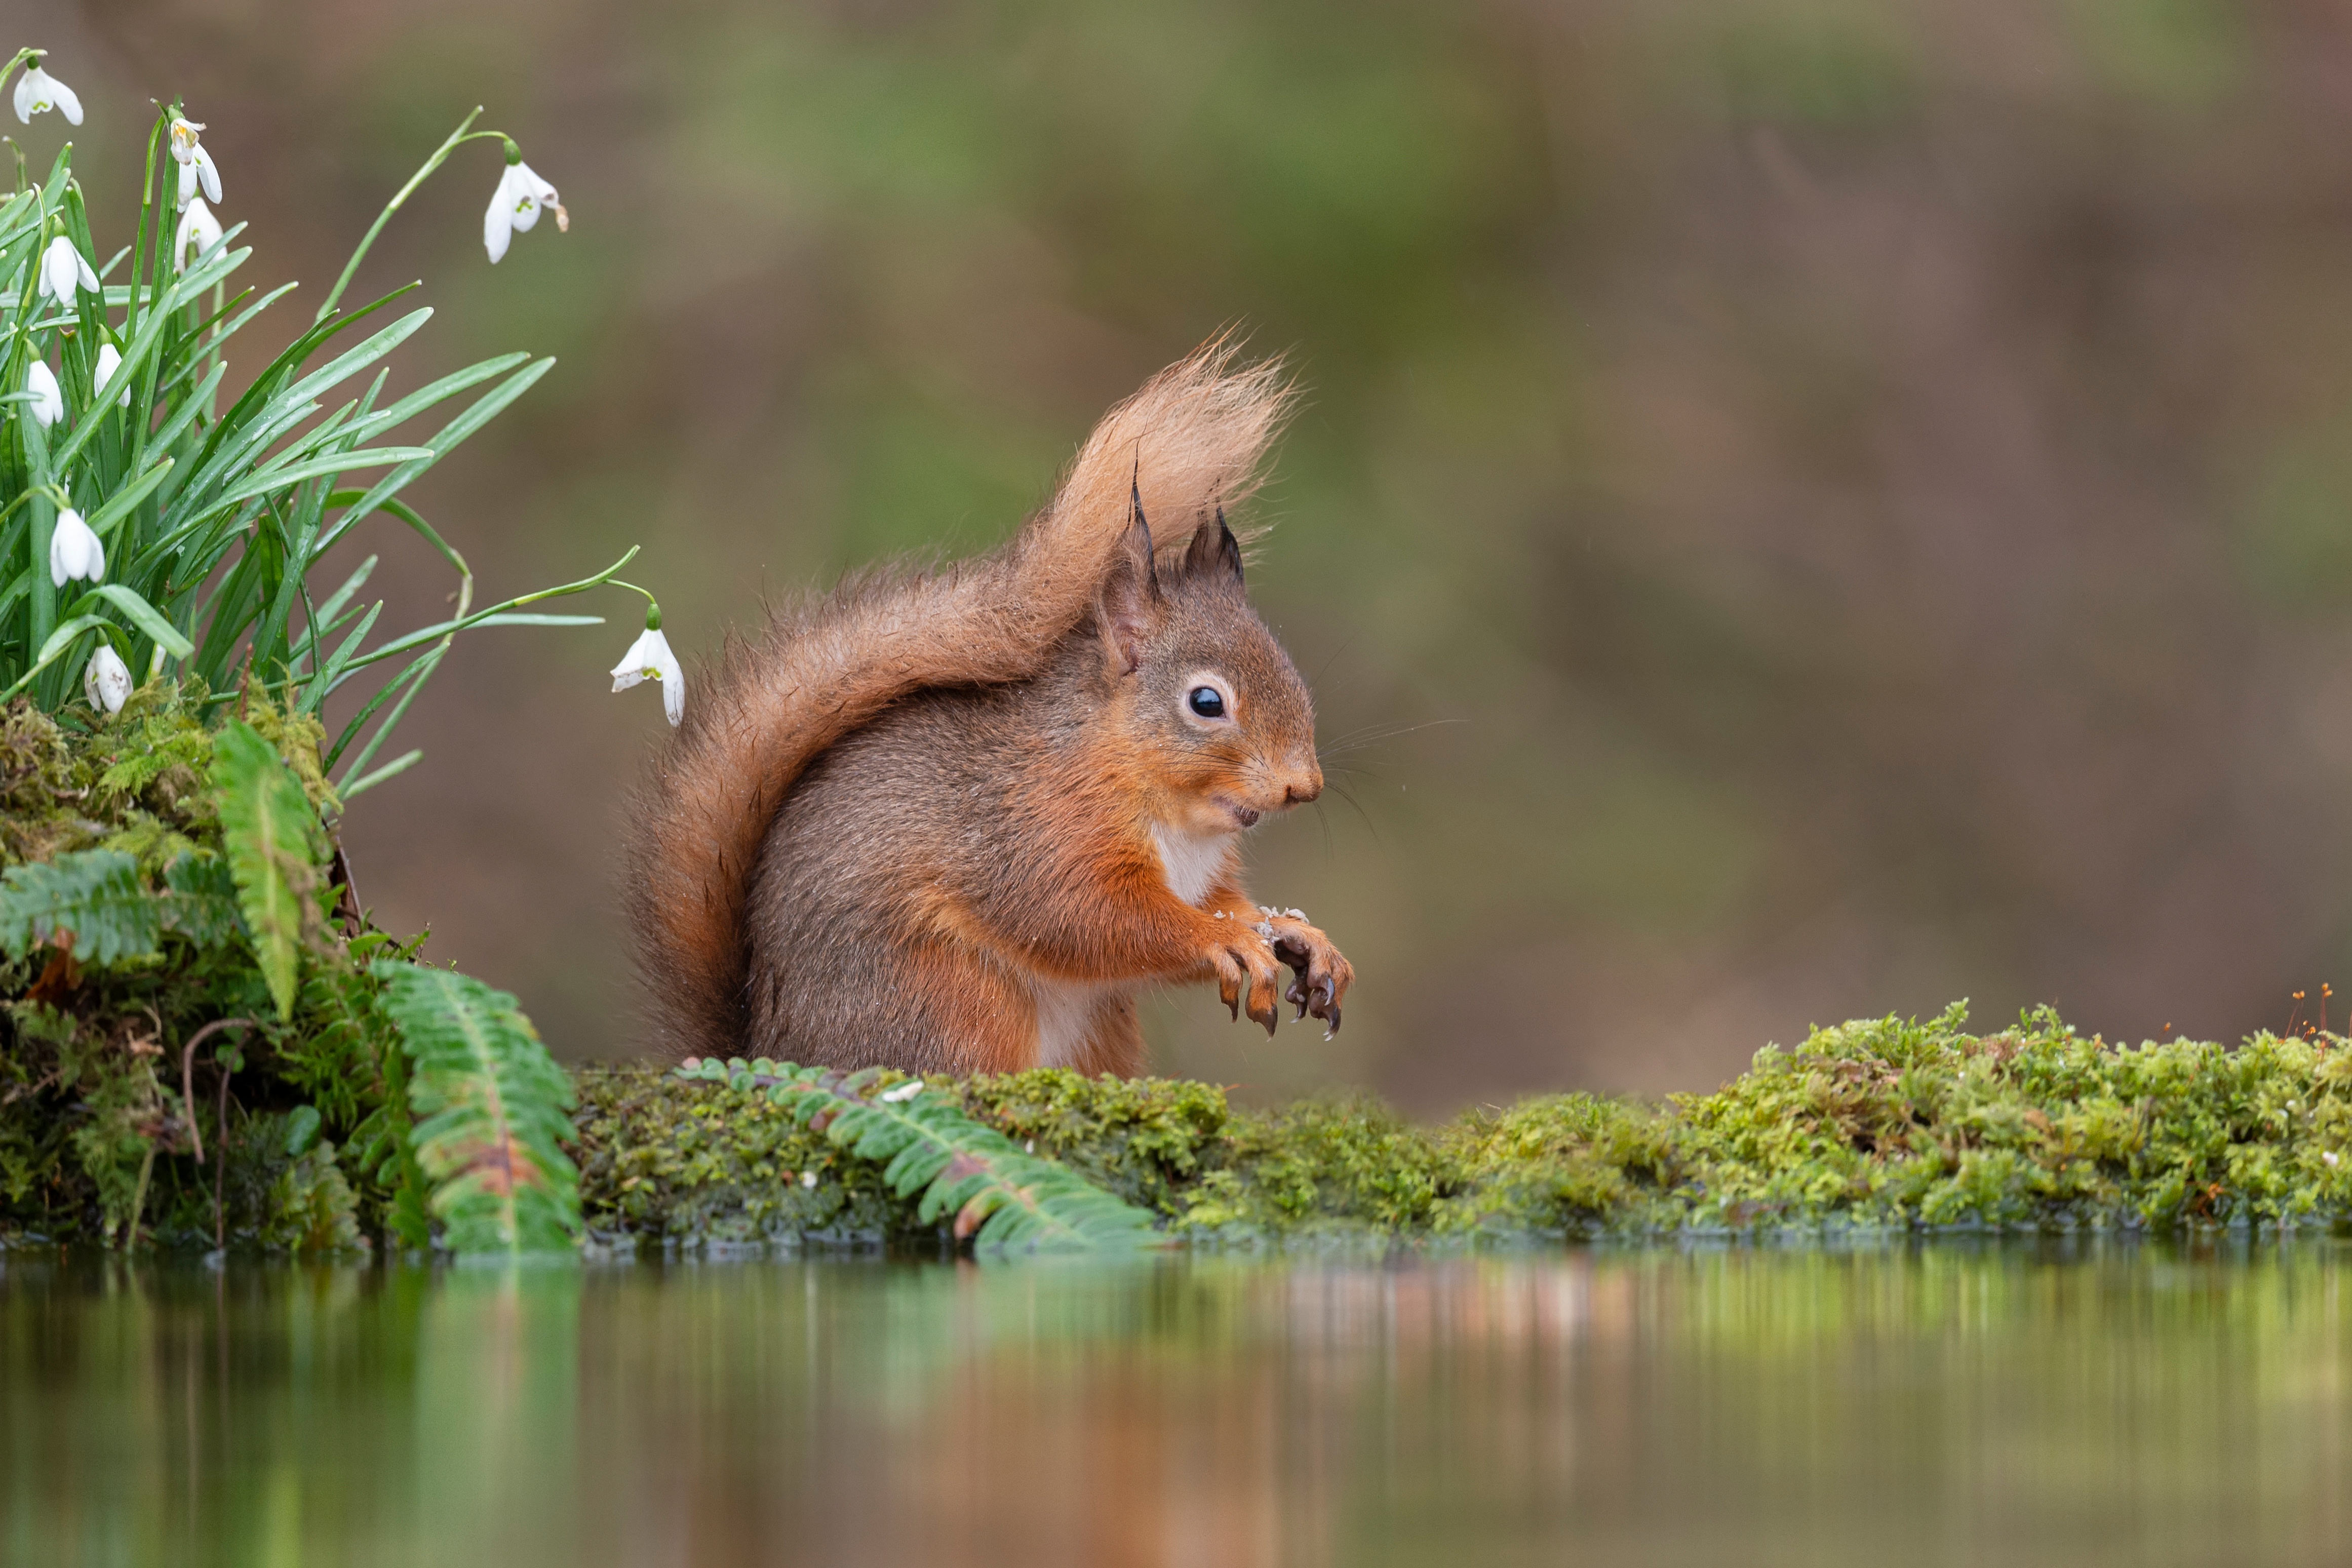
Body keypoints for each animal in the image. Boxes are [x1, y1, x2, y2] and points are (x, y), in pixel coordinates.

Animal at [623, 342, 1353, 1075]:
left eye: (1292, 671)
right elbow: (1090, 919)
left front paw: (1299, 934)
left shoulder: (1199, 876)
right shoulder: (1035, 832)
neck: (1170, 811)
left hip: (1098, 1028)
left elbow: (1229, 905)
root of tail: (769, 1052)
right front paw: (1221, 940)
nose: (1305, 786)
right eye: (1206, 702)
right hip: (955, 998)